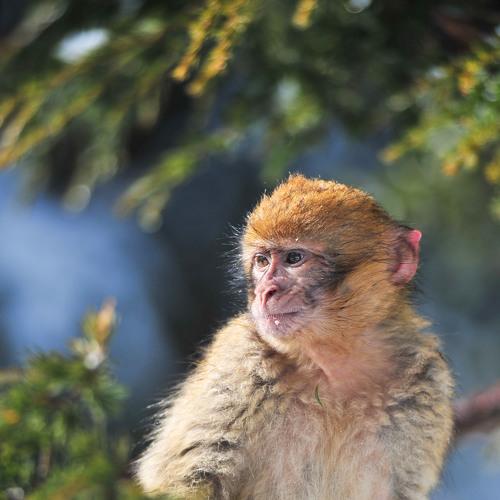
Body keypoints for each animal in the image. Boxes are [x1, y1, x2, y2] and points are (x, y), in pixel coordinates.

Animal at [135, 175, 454, 500]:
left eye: (294, 258)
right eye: (262, 261)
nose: (266, 291)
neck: (334, 371)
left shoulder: (427, 382)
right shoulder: (238, 359)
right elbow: (191, 478)